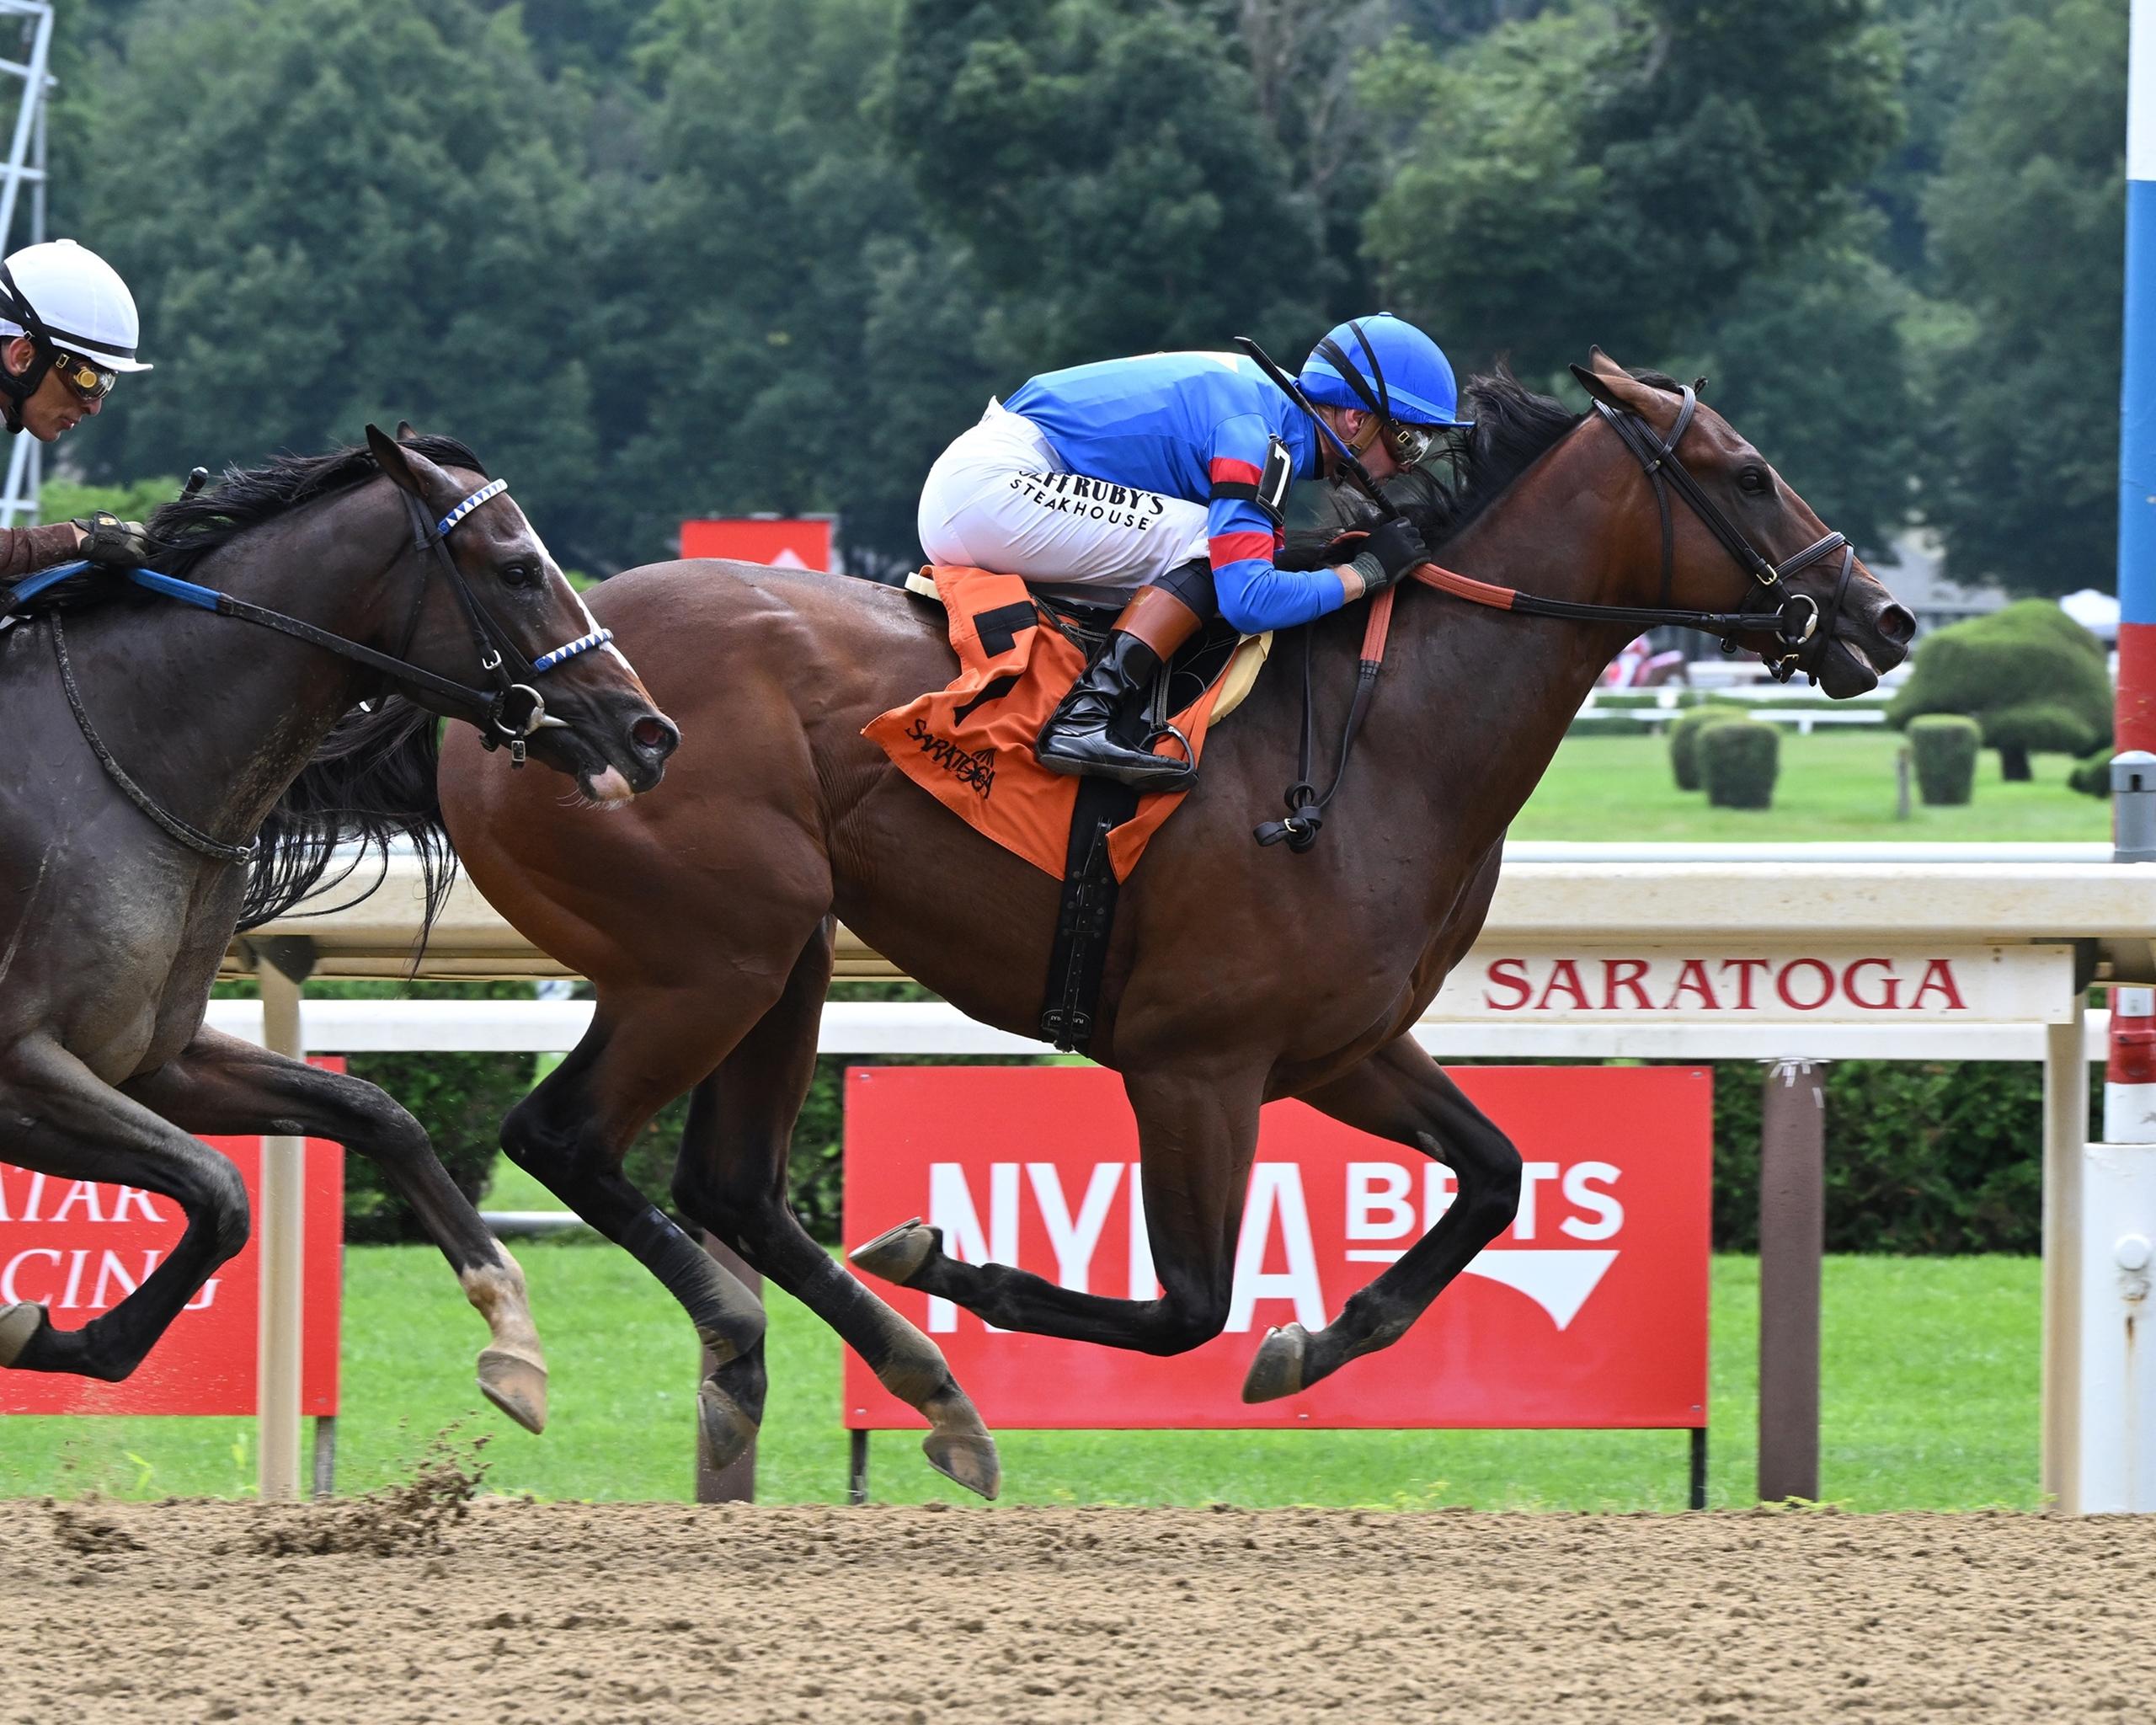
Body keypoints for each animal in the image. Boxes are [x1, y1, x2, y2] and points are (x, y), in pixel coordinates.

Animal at [0, 426, 677, 1434]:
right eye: (518, 569)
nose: (649, 732)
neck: (115, 758)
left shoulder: (151, 1060)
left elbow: (372, 1114)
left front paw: (515, 1339)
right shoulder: (22, 1065)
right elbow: (225, 1191)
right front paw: (49, 1333)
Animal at [434, 352, 1914, 1498]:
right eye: (1746, 474)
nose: (1885, 614)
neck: (1391, 734)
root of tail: (522, 690)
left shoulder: (1334, 1047)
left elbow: (1495, 1176)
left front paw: (1320, 1339)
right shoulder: (1194, 1062)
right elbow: (1189, 1308)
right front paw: (965, 1264)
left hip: (781, 951)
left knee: (727, 1182)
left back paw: (918, 1387)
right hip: (711, 952)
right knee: (563, 1137)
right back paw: (717, 1351)